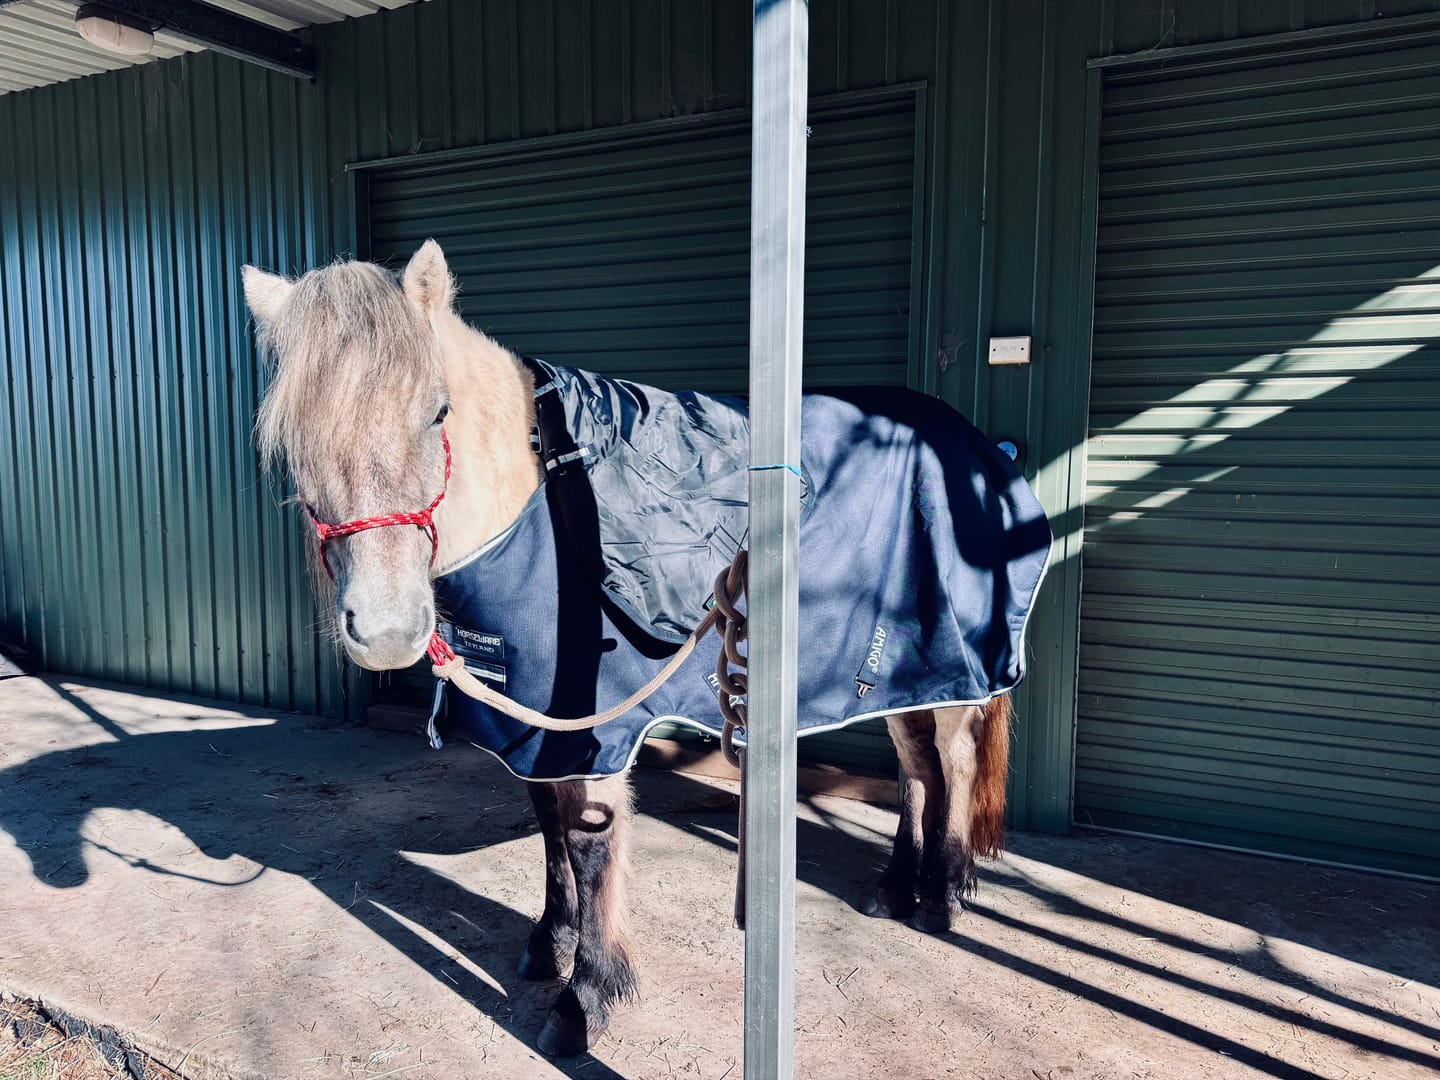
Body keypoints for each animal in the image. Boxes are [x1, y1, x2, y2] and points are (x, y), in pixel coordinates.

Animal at [242, 239, 1045, 1056]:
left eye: (437, 411)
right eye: (294, 439)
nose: (386, 631)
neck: (541, 505)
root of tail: (983, 450)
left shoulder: (595, 729)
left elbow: (587, 844)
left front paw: (586, 998)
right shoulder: (541, 729)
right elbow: (548, 829)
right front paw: (551, 943)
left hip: (950, 672)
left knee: (953, 763)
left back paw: (940, 897)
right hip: (893, 673)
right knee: (916, 768)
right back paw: (893, 887)